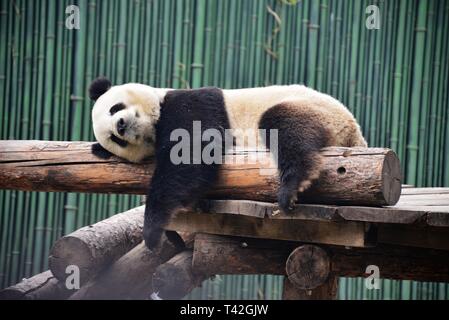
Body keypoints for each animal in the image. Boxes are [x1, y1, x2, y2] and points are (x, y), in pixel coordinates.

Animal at [89, 77, 366, 250]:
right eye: (115, 139)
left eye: (114, 108)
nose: (120, 126)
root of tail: (354, 133)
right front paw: (172, 233)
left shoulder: (191, 104)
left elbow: (191, 152)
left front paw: (152, 230)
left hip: (316, 110)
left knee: (284, 124)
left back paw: (294, 184)